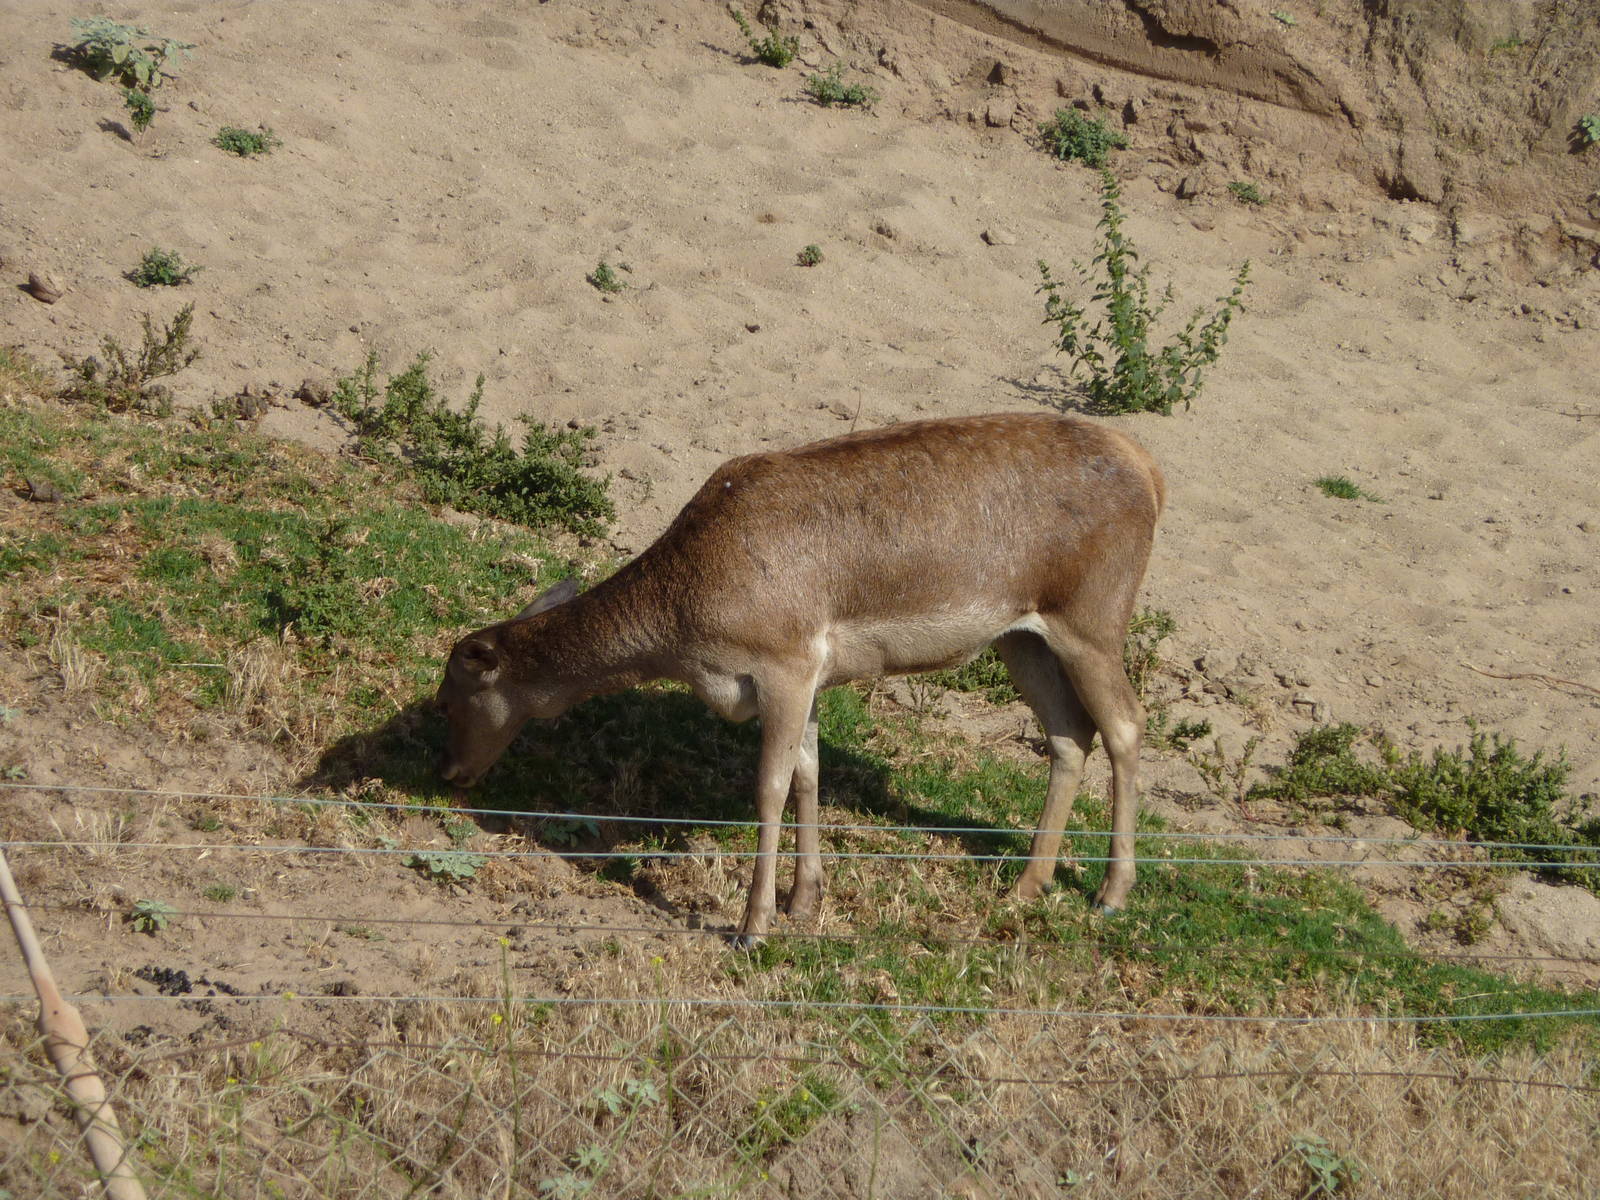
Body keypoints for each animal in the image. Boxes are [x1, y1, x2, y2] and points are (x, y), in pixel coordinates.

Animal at [435, 412, 1165, 948]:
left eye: (454, 694)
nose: (449, 773)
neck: (685, 611)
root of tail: (1149, 470)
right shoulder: (811, 676)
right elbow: (810, 774)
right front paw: (803, 900)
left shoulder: (783, 663)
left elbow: (770, 788)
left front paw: (752, 926)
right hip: (1022, 638)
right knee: (1069, 734)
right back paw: (1026, 885)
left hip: (1092, 621)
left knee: (1126, 725)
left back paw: (1110, 894)